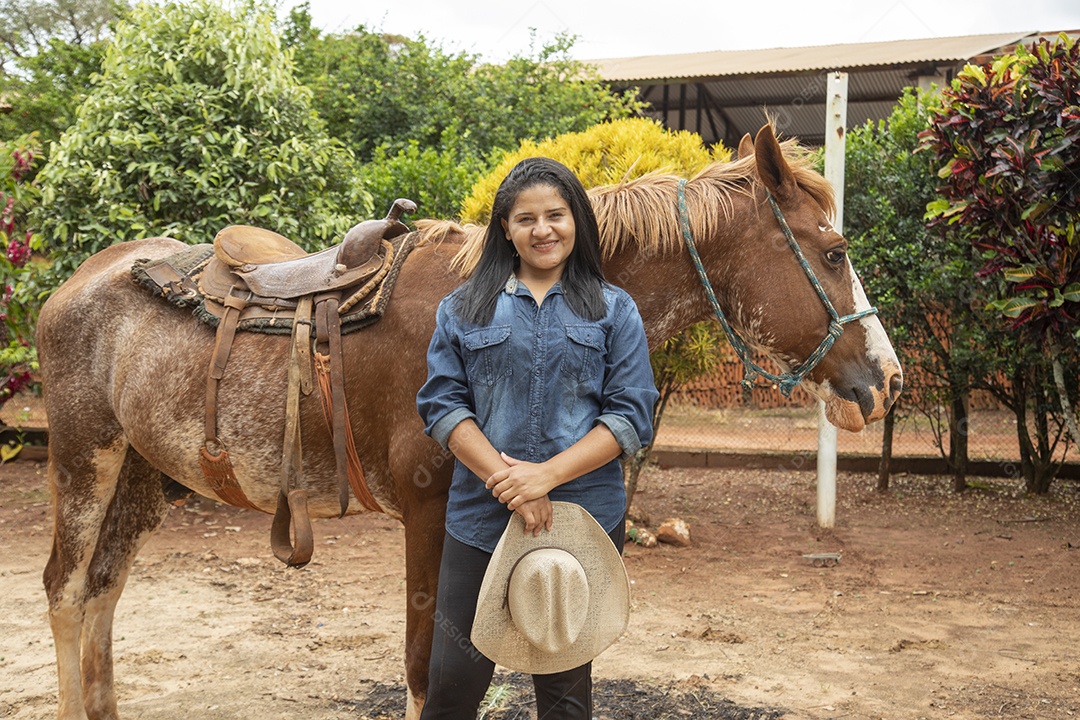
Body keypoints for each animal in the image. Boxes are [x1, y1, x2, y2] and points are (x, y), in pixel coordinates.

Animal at [38, 125, 902, 720]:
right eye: (834, 251)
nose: (886, 380)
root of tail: (79, 282)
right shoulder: (431, 515)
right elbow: (429, 674)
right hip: (85, 457)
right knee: (67, 589)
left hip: (142, 472)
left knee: (106, 587)